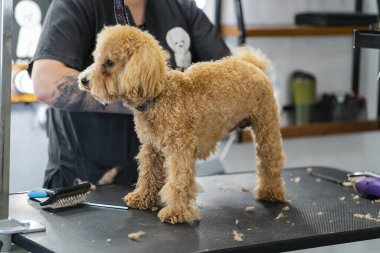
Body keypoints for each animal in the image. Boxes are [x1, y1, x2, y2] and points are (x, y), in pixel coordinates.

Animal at [78, 24, 284, 224]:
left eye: (109, 63)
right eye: (96, 58)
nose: (83, 80)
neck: (159, 96)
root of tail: (254, 66)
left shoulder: (179, 150)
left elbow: (178, 181)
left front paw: (176, 212)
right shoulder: (151, 148)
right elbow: (148, 174)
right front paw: (142, 198)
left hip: (266, 126)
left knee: (270, 160)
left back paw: (271, 192)